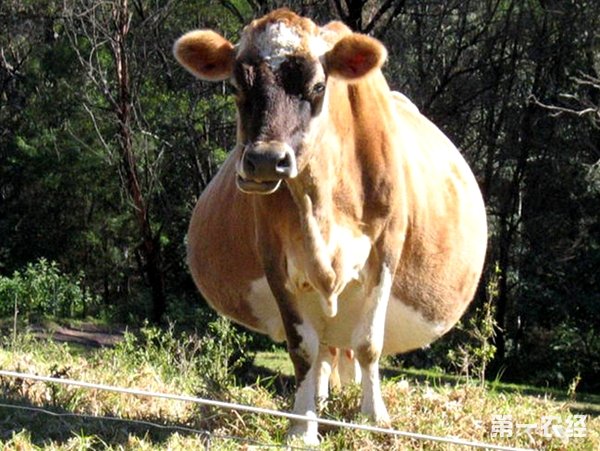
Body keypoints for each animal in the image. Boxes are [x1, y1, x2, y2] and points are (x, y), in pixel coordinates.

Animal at [173, 8, 488, 446]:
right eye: (236, 85)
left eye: (319, 85)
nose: (266, 160)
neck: (321, 205)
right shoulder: (276, 260)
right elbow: (302, 347)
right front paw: (302, 426)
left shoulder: (386, 251)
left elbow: (370, 343)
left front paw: (373, 419)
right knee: (324, 346)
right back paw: (321, 401)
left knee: (347, 346)